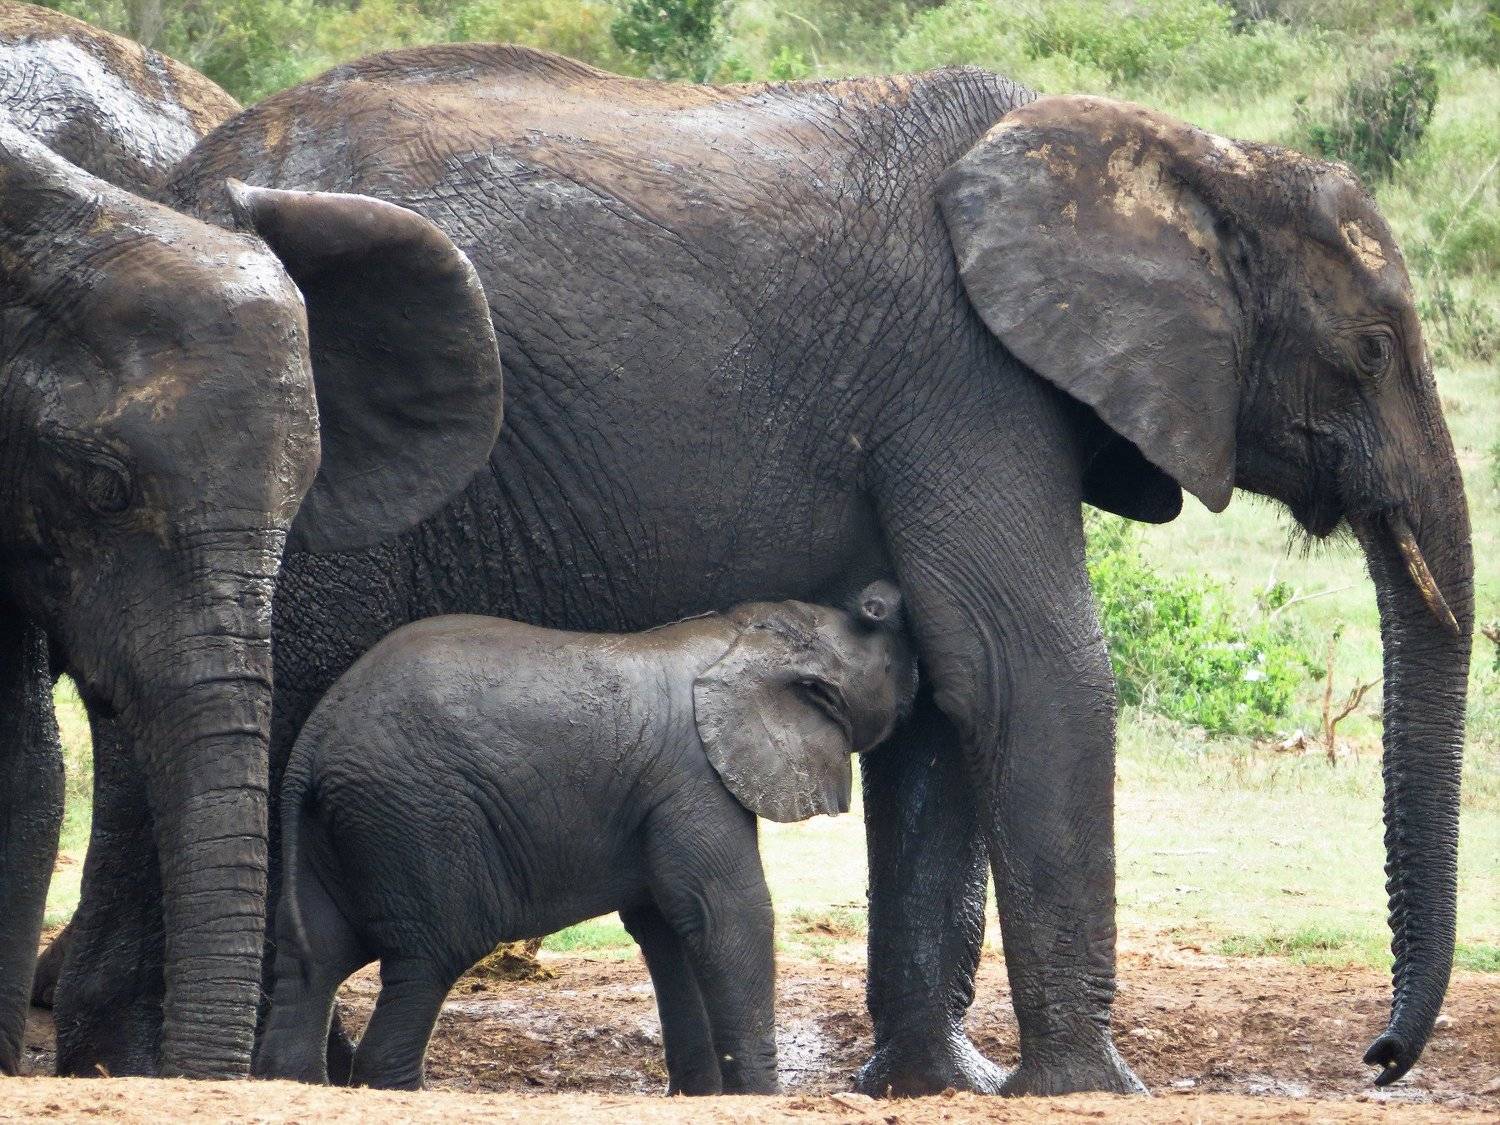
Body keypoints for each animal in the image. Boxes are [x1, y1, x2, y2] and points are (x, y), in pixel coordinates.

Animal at [256, 580, 915, 1092]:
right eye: (887, 663)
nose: (880, 596)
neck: (740, 637)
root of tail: (313, 740)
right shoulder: (693, 779)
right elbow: (723, 914)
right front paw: (755, 1099)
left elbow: (666, 929)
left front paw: (699, 1096)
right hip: (418, 815)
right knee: (431, 956)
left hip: (343, 823)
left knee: (313, 960)